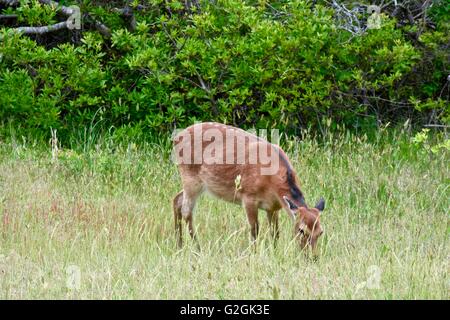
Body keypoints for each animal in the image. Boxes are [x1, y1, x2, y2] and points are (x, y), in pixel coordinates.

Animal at [171, 122, 324, 252]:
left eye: (321, 231)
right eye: (301, 230)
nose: (312, 257)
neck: (272, 184)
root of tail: (176, 138)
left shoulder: (273, 207)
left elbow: (275, 232)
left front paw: (275, 251)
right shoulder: (248, 197)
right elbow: (255, 229)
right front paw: (253, 253)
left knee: (176, 200)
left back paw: (179, 245)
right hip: (190, 178)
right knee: (186, 211)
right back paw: (197, 248)